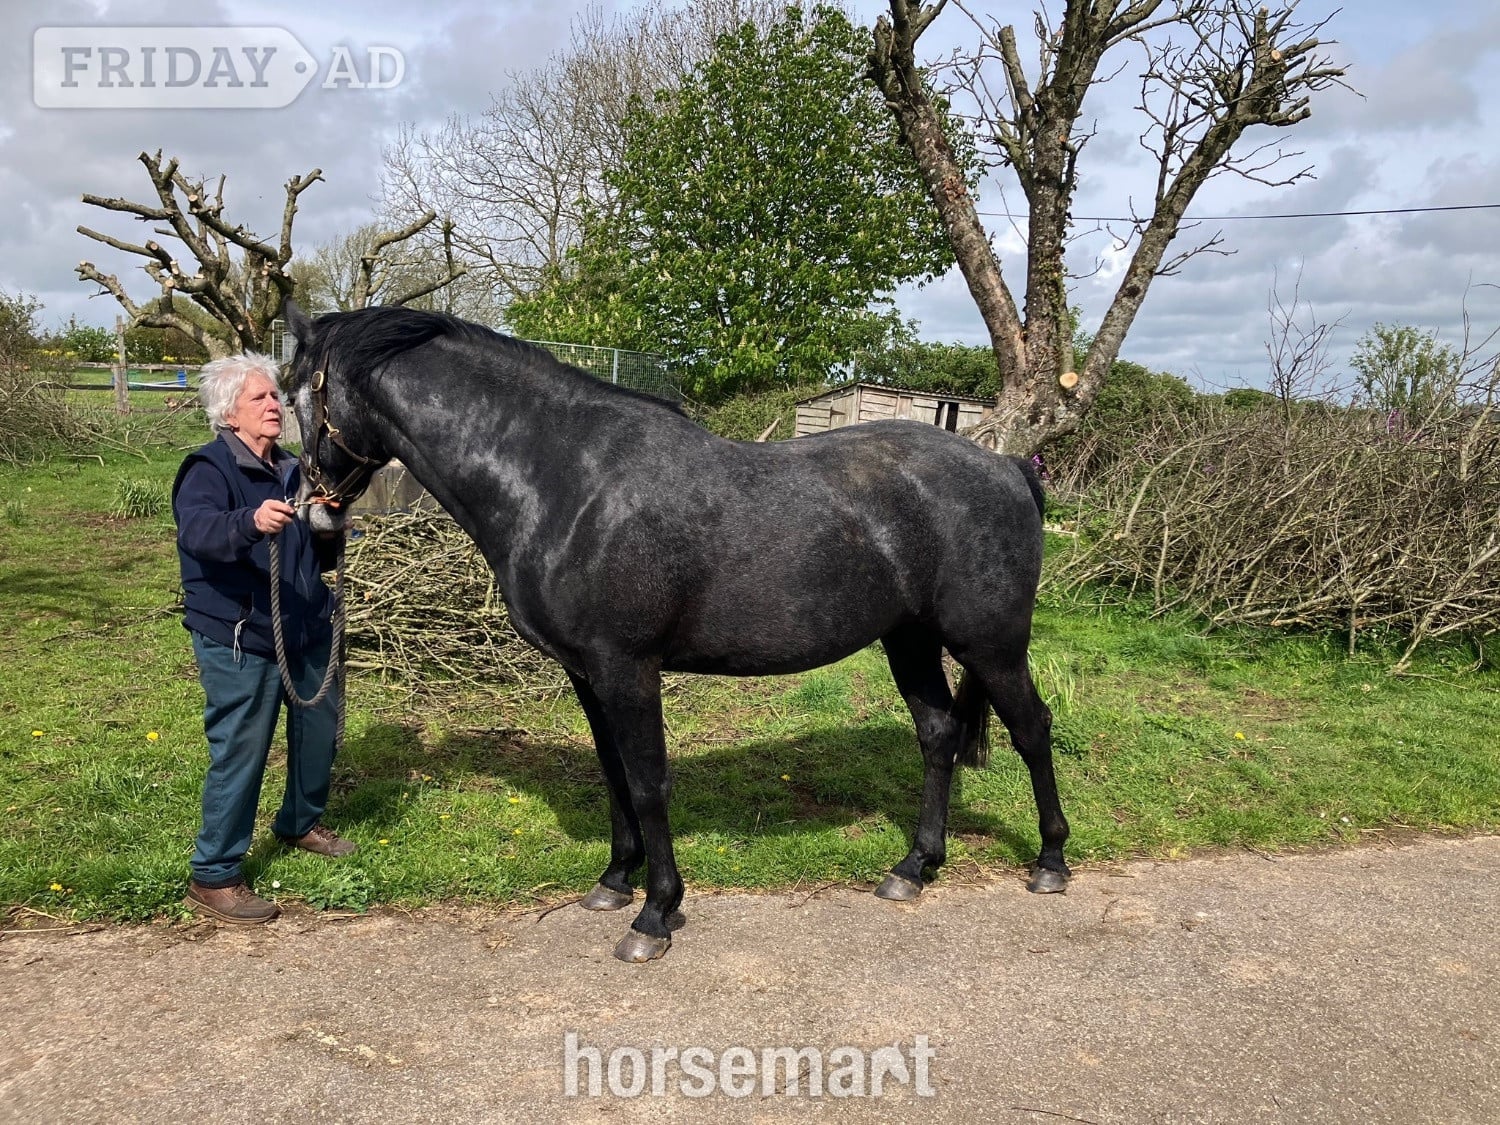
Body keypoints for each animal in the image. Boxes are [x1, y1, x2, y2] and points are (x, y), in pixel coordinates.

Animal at [278, 300, 1070, 962]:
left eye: (299, 396)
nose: (312, 511)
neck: (563, 479)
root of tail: (1008, 466)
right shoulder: (586, 672)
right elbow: (614, 773)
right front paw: (613, 880)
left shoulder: (627, 666)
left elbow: (650, 779)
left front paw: (655, 915)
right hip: (909, 638)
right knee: (937, 733)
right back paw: (915, 866)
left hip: (990, 644)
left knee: (1032, 729)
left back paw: (1050, 862)